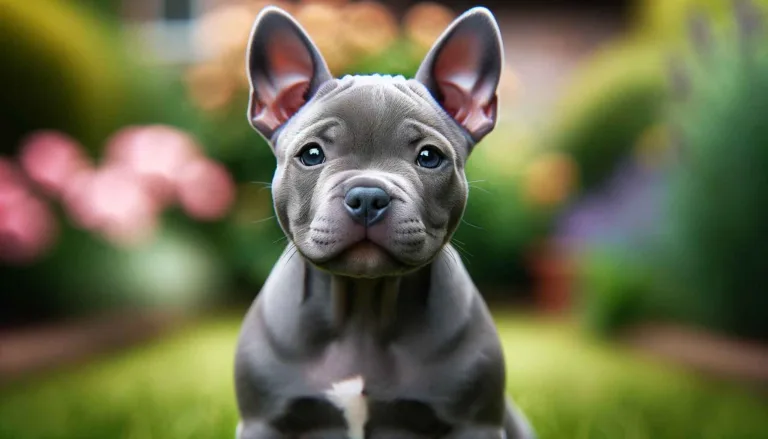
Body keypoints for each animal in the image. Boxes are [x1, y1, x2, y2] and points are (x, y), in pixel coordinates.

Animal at [234, 4, 536, 439]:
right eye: (311, 154)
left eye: (429, 157)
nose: (367, 196)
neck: (364, 308)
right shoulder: (265, 422)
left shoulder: (474, 424)